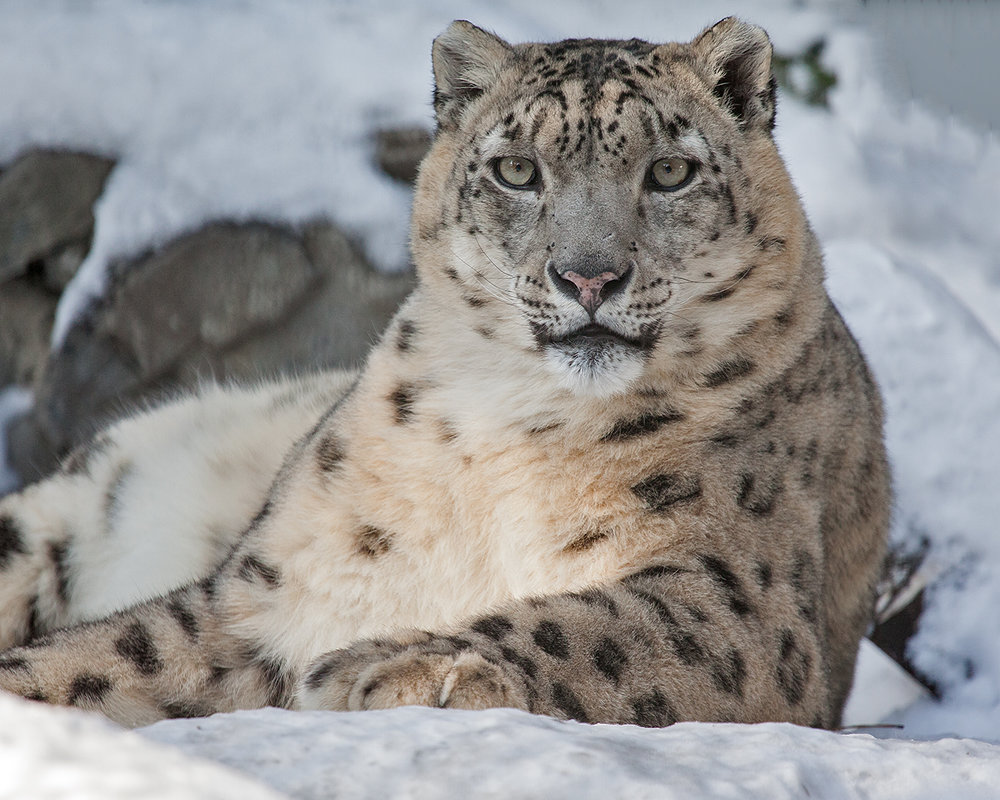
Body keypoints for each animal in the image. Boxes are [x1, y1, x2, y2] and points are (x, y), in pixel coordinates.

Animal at [0, 18, 892, 732]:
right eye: (517, 171)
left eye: (671, 171)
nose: (589, 277)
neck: (513, 429)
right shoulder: (267, 590)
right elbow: (113, 654)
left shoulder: (736, 592)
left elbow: (596, 623)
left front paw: (391, 666)